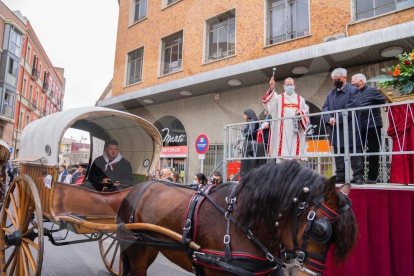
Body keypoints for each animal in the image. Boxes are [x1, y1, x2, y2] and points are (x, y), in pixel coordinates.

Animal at [117, 161, 360, 276]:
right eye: (320, 230)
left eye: (336, 236)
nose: (306, 274)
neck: (241, 222)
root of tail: (136, 187)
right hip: (135, 247)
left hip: (150, 246)